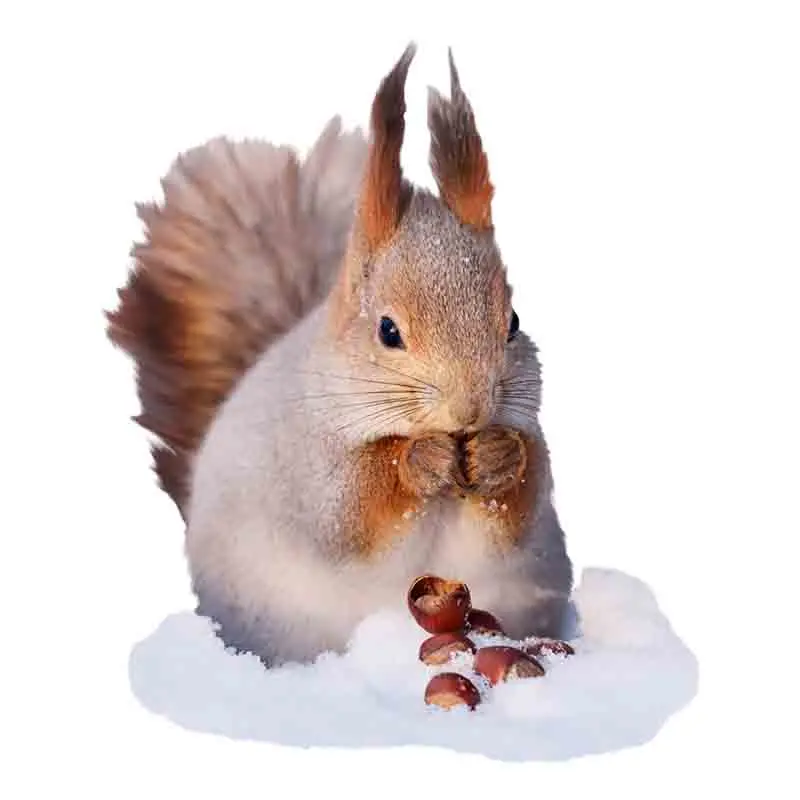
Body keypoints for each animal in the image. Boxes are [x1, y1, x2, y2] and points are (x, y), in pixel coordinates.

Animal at [106, 44, 573, 667]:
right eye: (388, 331)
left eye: (514, 324)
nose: (471, 409)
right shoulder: (302, 458)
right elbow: (349, 509)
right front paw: (418, 460)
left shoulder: (531, 439)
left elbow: (526, 496)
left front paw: (499, 454)